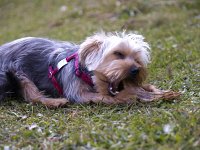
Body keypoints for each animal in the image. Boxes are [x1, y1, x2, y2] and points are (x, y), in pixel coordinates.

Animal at [0, 31, 180, 106]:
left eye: (137, 59)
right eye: (118, 54)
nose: (136, 70)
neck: (84, 72)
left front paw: (157, 91)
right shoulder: (77, 91)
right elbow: (107, 97)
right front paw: (132, 95)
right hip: (14, 71)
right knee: (31, 95)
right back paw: (55, 101)